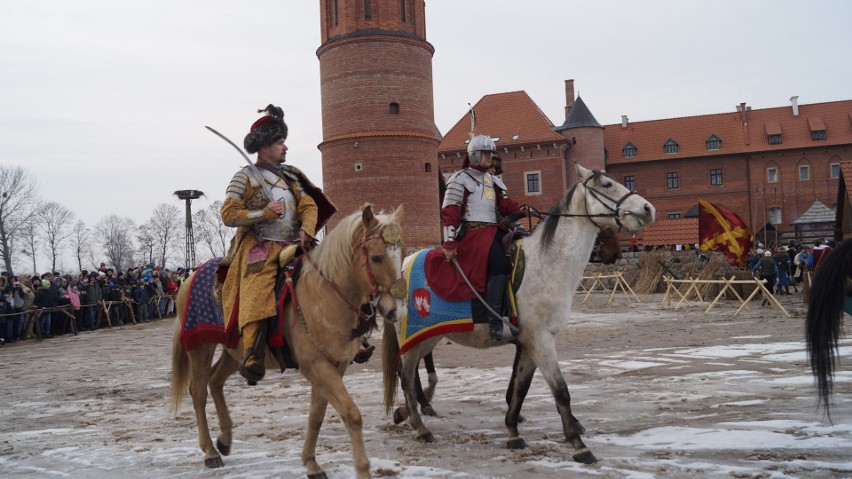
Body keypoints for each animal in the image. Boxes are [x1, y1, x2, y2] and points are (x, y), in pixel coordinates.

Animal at [171, 205, 404, 479]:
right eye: (376, 258)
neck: (322, 294)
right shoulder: (317, 366)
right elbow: (351, 414)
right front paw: (361, 468)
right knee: (198, 392)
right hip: (200, 347)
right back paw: (210, 452)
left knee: (215, 381)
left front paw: (312, 464)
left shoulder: (335, 366)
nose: (395, 311)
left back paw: (225, 440)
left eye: (402, 254)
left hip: (234, 351)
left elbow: (317, 415)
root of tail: (191, 276)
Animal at [382, 164, 656, 464]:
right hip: (413, 336)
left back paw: (408, 414)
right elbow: (561, 391)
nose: (647, 209)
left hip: (428, 336)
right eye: (607, 185)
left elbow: (520, 389)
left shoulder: (528, 343)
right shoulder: (540, 340)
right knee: (406, 375)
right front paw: (578, 445)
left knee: (409, 373)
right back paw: (421, 427)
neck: (547, 262)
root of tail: (404, 263)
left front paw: (513, 432)